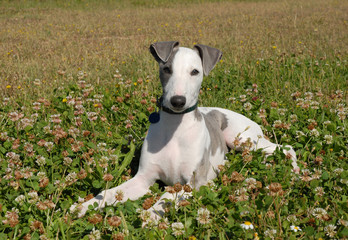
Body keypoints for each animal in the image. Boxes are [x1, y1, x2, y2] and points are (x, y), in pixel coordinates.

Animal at [70, 40, 300, 218]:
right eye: (166, 69)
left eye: (195, 71)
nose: (177, 101)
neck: (175, 128)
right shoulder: (143, 179)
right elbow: (109, 193)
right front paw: (82, 207)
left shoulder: (192, 183)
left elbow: (165, 197)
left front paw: (149, 216)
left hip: (243, 140)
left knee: (287, 147)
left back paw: (295, 172)